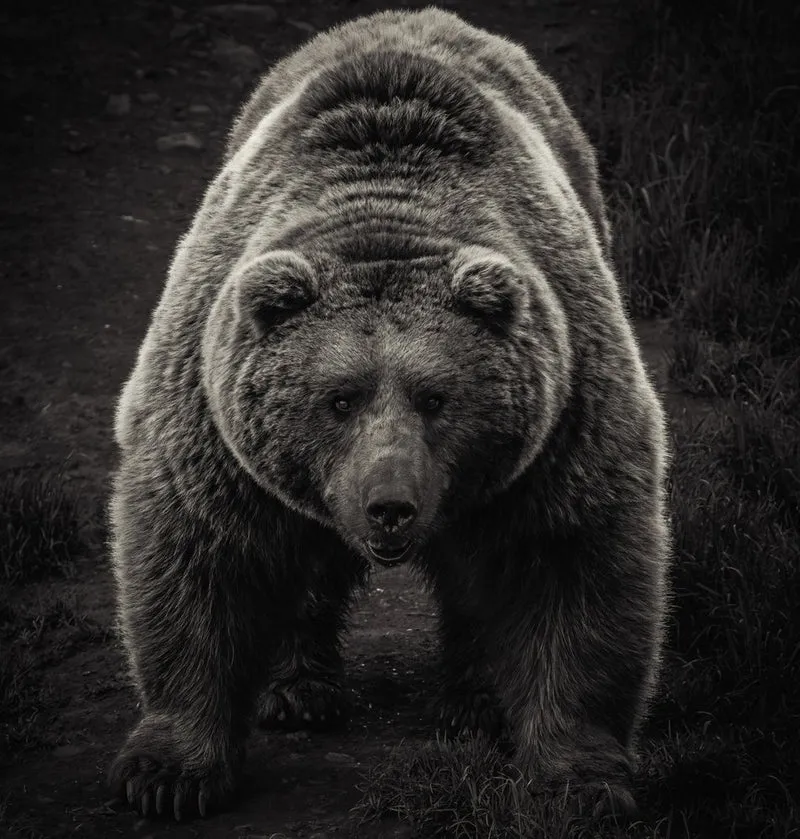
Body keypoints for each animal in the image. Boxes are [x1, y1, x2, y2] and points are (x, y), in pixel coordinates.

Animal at [108, 7, 670, 822]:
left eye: (438, 397)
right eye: (338, 398)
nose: (390, 505)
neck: (386, 216)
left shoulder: (561, 426)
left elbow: (573, 569)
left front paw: (583, 781)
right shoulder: (212, 433)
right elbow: (198, 564)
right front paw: (167, 774)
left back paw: (475, 703)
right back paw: (296, 690)